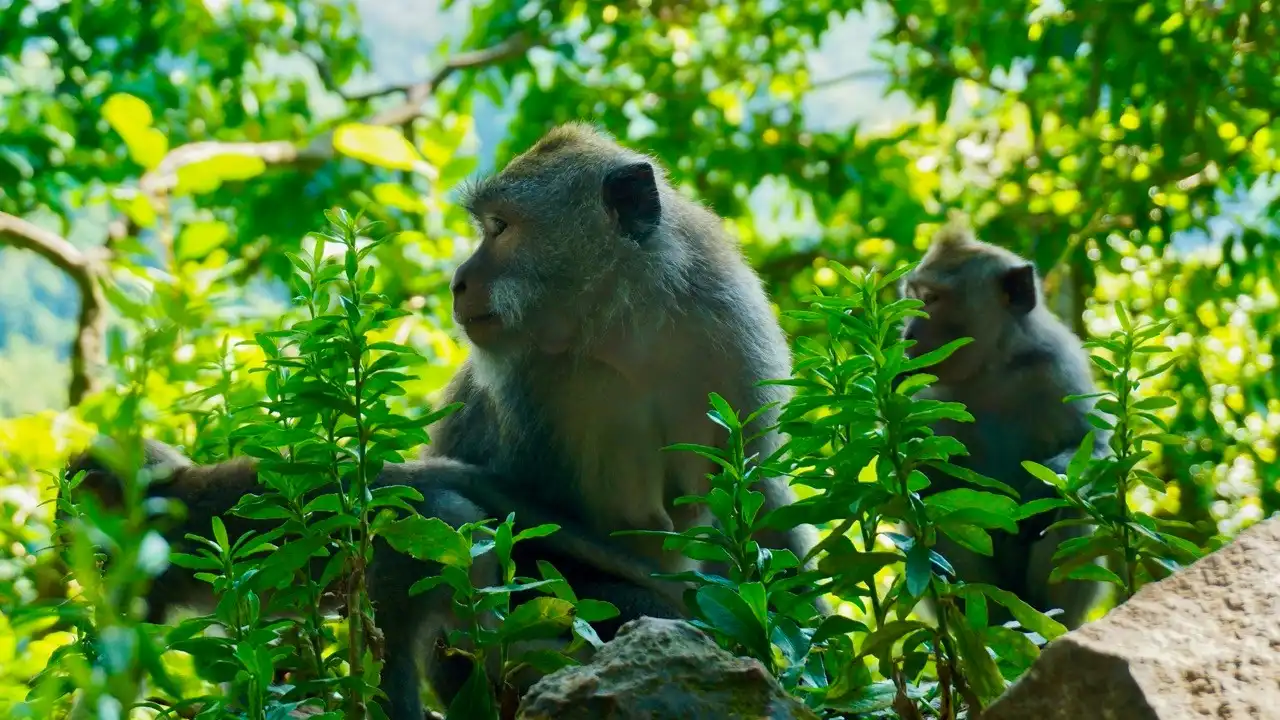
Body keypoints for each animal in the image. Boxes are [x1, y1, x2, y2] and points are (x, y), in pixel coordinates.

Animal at [897, 222, 1109, 631]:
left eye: (932, 298)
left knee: (1068, 508)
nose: (908, 333)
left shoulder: (1058, 366)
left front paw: (1048, 481)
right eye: (913, 298)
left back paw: (1049, 620)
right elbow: (924, 484)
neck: (989, 369)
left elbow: (1094, 449)